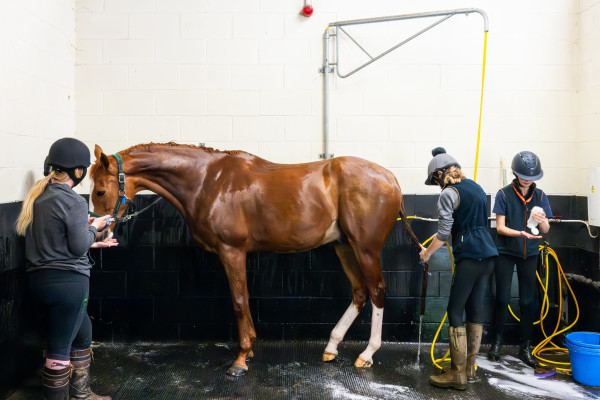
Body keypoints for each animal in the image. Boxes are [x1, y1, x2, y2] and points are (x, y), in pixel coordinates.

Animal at [90, 143, 422, 376]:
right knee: (359, 293)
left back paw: (367, 354)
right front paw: (249, 350)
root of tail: (391, 178)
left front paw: (240, 359)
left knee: (377, 291)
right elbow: (245, 300)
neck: (208, 181)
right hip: (344, 246)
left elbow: (239, 302)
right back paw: (331, 346)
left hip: (366, 248)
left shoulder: (232, 251)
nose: (98, 230)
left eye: (100, 190)